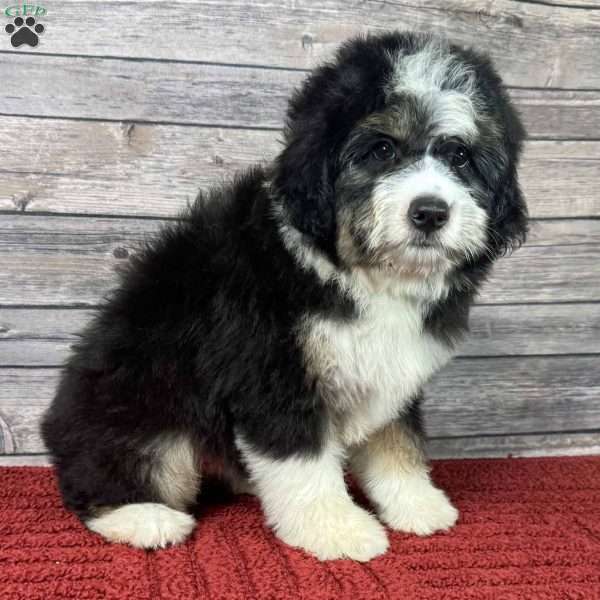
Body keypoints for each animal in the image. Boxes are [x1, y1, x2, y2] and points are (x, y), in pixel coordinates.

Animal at [43, 30, 524, 560]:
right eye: (381, 150)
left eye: (460, 156)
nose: (431, 212)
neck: (363, 273)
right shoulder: (272, 370)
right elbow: (303, 459)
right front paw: (337, 529)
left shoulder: (391, 370)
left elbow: (396, 439)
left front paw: (416, 503)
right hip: (141, 403)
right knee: (109, 471)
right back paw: (142, 516)